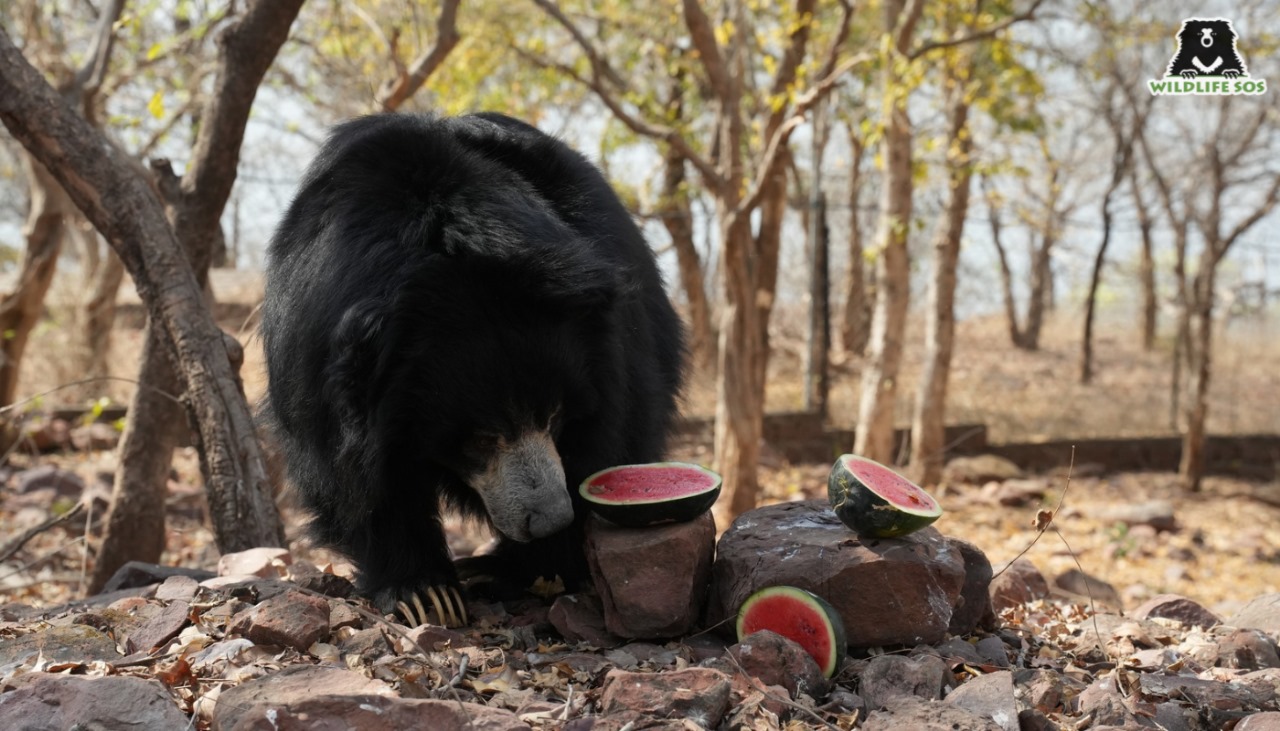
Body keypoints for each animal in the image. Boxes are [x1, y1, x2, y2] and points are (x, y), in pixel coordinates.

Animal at [254, 114, 686, 629]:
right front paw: (426, 593)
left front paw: (531, 566)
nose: (548, 518)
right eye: (480, 438)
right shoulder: (315, 357)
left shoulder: (607, 352)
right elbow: (353, 475)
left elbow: (603, 440)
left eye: (554, 415)